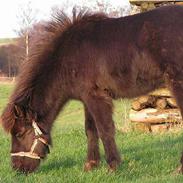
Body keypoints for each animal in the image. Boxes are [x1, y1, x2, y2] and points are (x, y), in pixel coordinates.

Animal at [1, 5, 183, 173]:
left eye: (19, 133)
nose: (17, 168)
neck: (68, 58)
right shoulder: (87, 99)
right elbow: (90, 130)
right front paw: (91, 164)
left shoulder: (97, 97)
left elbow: (105, 130)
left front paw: (113, 166)